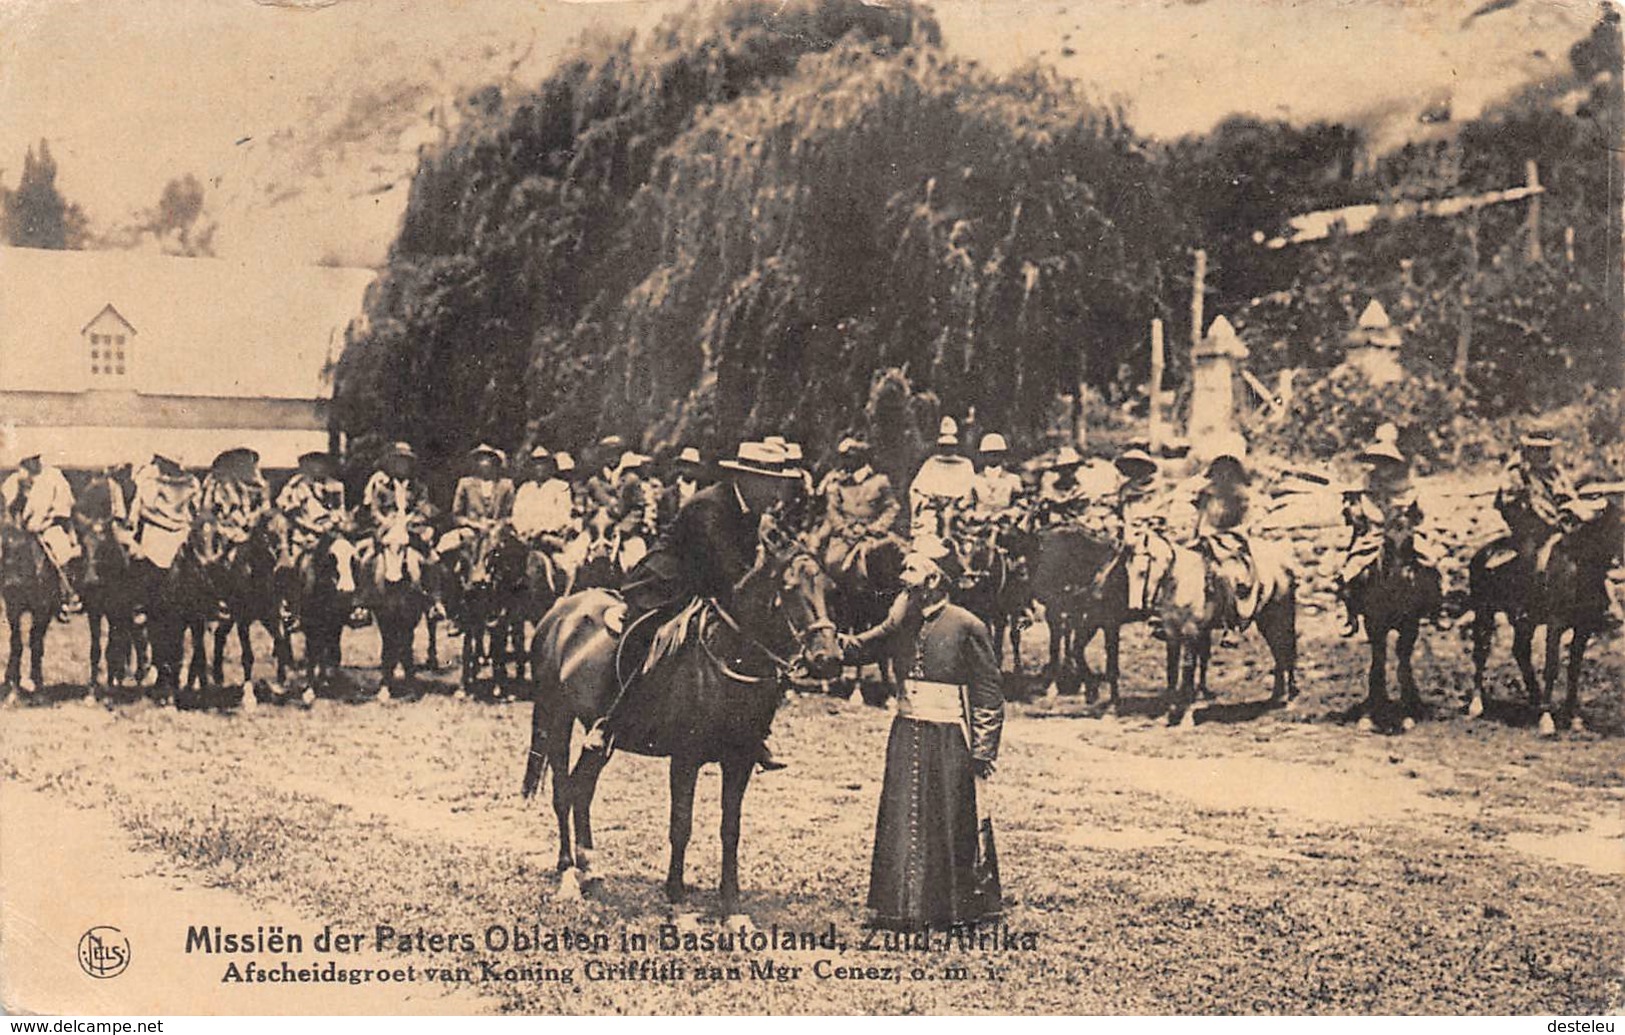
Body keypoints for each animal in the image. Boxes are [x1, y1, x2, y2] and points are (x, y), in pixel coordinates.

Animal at [0, 523, 61, 695]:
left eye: (21, 557)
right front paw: (12, 681)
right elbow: (16, 642)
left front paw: (37, 683)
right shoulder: (13, 608)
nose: (10, 584)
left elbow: (36, 644)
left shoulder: (43, 610)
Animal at [523, 536, 851, 916]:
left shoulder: (739, 762)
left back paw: (589, 866)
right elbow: (681, 825)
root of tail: (559, 612)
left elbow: (730, 828)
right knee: (563, 790)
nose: (828, 659)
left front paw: (730, 900)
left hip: (602, 739)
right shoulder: (685, 759)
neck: (728, 656)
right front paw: (676, 891)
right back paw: (567, 864)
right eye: (789, 588)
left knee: (582, 788)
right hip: (557, 717)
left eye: (831, 589)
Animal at [1150, 539, 1300, 727]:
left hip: (1281, 616)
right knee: (1279, 654)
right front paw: (1169, 715)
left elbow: (1187, 672)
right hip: (1266, 621)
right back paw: (1276, 697)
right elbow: (1172, 672)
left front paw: (1185, 718)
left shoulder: (1191, 633)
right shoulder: (1173, 634)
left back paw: (1290, 699)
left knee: (1287, 650)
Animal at [1345, 519, 1449, 731]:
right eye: (1387, 543)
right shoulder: (1374, 625)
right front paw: (1371, 714)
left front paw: (1408, 714)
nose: (1402, 577)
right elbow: (1378, 663)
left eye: (1411, 542)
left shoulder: (1410, 625)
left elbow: (1403, 665)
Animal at [1469, 493, 1618, 731]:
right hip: (1483, 611)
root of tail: (1483, 553)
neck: (1579, 570)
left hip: (1523, 621)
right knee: (1481, 652)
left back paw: (1534, 701)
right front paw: (1547, 719)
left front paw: (1573, 718)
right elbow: (1551, 666)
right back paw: (1476, 705)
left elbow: (1574, 669)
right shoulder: (1555, 626)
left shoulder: (1583, 629)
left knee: (1520, 651)